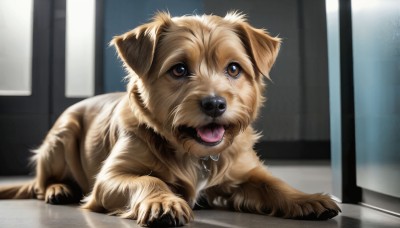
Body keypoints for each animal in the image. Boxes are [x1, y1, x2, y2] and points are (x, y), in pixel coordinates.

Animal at [0, 12, 340, 226]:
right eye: (179, 70)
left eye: (233, 68)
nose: (215, 104)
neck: (195, 153)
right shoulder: (109, 179)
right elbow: (149, 178)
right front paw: (163, 202)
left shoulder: (246, 171)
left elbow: (274, 184)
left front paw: (307, 198)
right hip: (63, 134)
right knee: (42, 183)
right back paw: (58, 189)